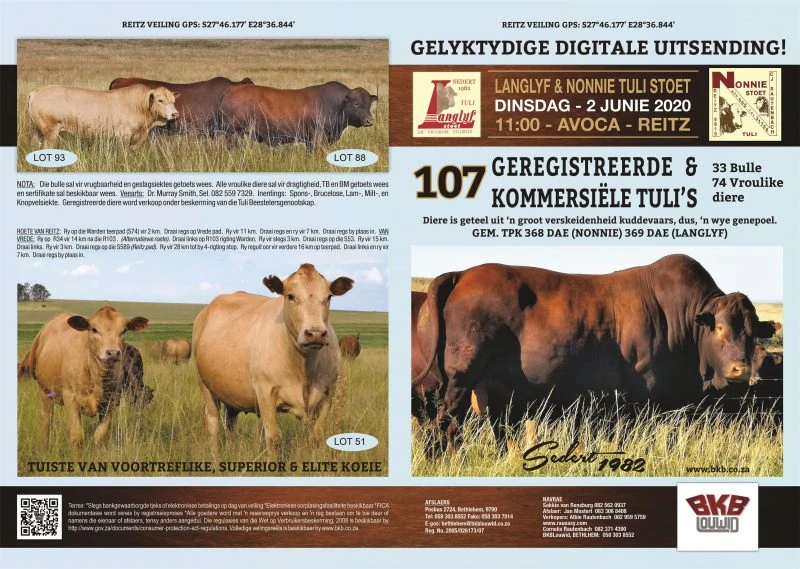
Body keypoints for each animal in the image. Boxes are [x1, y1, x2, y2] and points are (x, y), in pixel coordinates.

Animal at [22, 307, 149, 447]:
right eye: (94, 329)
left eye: (124, 330)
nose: (113, 353)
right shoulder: (70, 398)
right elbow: (77, 436)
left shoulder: (111, 402)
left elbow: (99, 436)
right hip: (45, 392)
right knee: (46, 421)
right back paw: (45, 446)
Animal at [28, 84, 179, 148]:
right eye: (160, 100)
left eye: (173, 100)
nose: (175, 114)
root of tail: (36, 92)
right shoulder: (123, 135)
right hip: (50, 132)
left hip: (39, 131)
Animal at [193, 264, 353, 454]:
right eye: (290, 296)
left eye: (328, 297)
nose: (315, 333)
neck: (304, 368)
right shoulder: (265, 393)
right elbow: (274, 438)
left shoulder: (328, 393)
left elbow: (316, 436)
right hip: (205, 386)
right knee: (213, 423)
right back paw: (215, 457)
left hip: (231, 391)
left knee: (230, 424)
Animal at [218, 81, 378, 150]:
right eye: (356, 104)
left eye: (369, 103)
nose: (369, 121)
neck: (336, 105)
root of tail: (232, 88)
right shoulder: (316, 138)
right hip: (231, 133)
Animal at [413, 255, 780, 456]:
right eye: (718, 329)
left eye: (752, 332)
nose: (740, 370)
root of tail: (462, 274)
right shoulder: (639, 401)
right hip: (460, 382)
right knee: (446, 425)